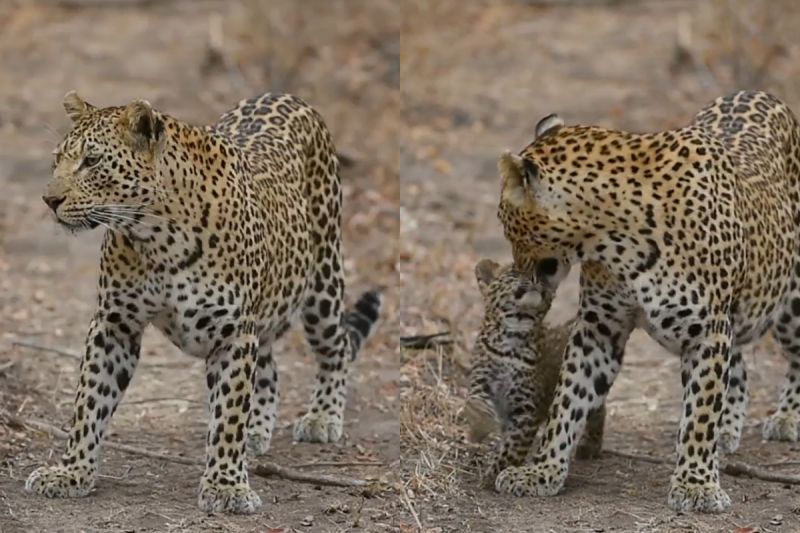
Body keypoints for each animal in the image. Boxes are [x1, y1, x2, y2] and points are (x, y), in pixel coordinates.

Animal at [25, 89, 384, 512]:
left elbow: (229, 410)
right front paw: (70, 472)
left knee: (335, 349)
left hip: (323, 282)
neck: (156, 237)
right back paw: (258, 429)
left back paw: (322, 418)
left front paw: (226, 485)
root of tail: (285, 96)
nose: (49, 200)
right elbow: (88, 403)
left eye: (92, 161)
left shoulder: (233, 332)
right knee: (268, 369)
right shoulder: (114, 324)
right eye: (57, 159)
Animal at [462, 258, 608, 486]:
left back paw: (589, 445)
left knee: (598, 411)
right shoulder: (481, 380)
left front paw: (496, 472)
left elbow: (514, 447)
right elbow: (475, 403)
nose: (535, 278)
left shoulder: (527, 408)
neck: (512, 337)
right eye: (516, 271)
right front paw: (480, 428)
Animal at [494, 89, 800, 512]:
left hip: (789, 304)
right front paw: (542, 470)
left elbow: (701, 407)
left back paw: (785, 420)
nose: (520, 271)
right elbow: (568, 399)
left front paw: (696, 484)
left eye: (504, 220)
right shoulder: (599, 329)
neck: (615, 239)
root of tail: (761, 93)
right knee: (737, 365)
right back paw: (727, 429)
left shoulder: (707, 330)